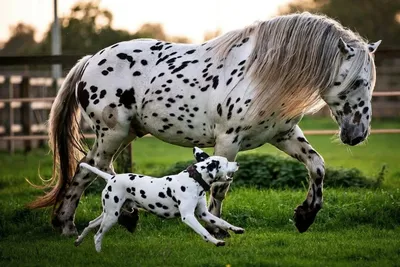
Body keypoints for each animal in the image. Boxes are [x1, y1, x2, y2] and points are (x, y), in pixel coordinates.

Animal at [28, 12, 382, 238]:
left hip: (125, 133)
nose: (357, 134)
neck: (262, 75)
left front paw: (305, 216)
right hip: (111, 133)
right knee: (87, 168)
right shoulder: (228, 141)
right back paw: (67, 225)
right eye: (355, 82)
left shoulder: (284, 134)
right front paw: (215, 227)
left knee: (103, 170)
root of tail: (91, 59)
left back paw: (121, 217)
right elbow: (220, 187)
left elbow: (317, 166)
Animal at [75, 148, 244, 252]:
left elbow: (223, 222)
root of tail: (111, 178)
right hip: (111, 216)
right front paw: (217, 242)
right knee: (97, 235)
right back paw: (99, 253)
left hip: (109, 214)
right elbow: (204, 232)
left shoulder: (204, 214)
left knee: (90, 225)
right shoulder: (188, 217)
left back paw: (78, 241)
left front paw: (236, 229)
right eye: (226, 162)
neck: (193, 180)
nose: (238, 163)